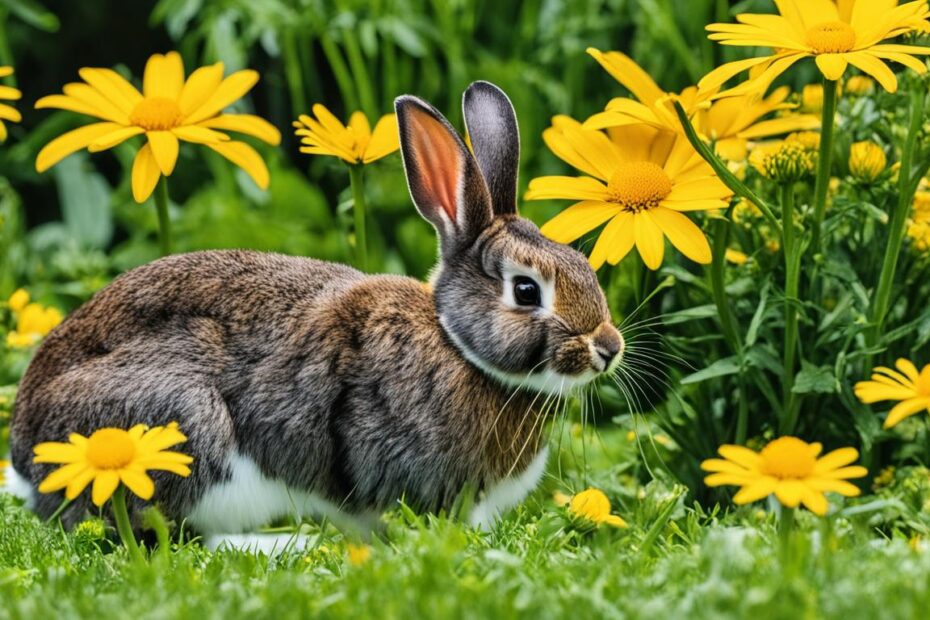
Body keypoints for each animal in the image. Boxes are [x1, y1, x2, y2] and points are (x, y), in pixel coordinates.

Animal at [6, 81, 624, 549]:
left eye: (581, 264)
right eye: (526, 290)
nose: (608, 347)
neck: (457, 346)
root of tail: (25, 457)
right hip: (185, 430)